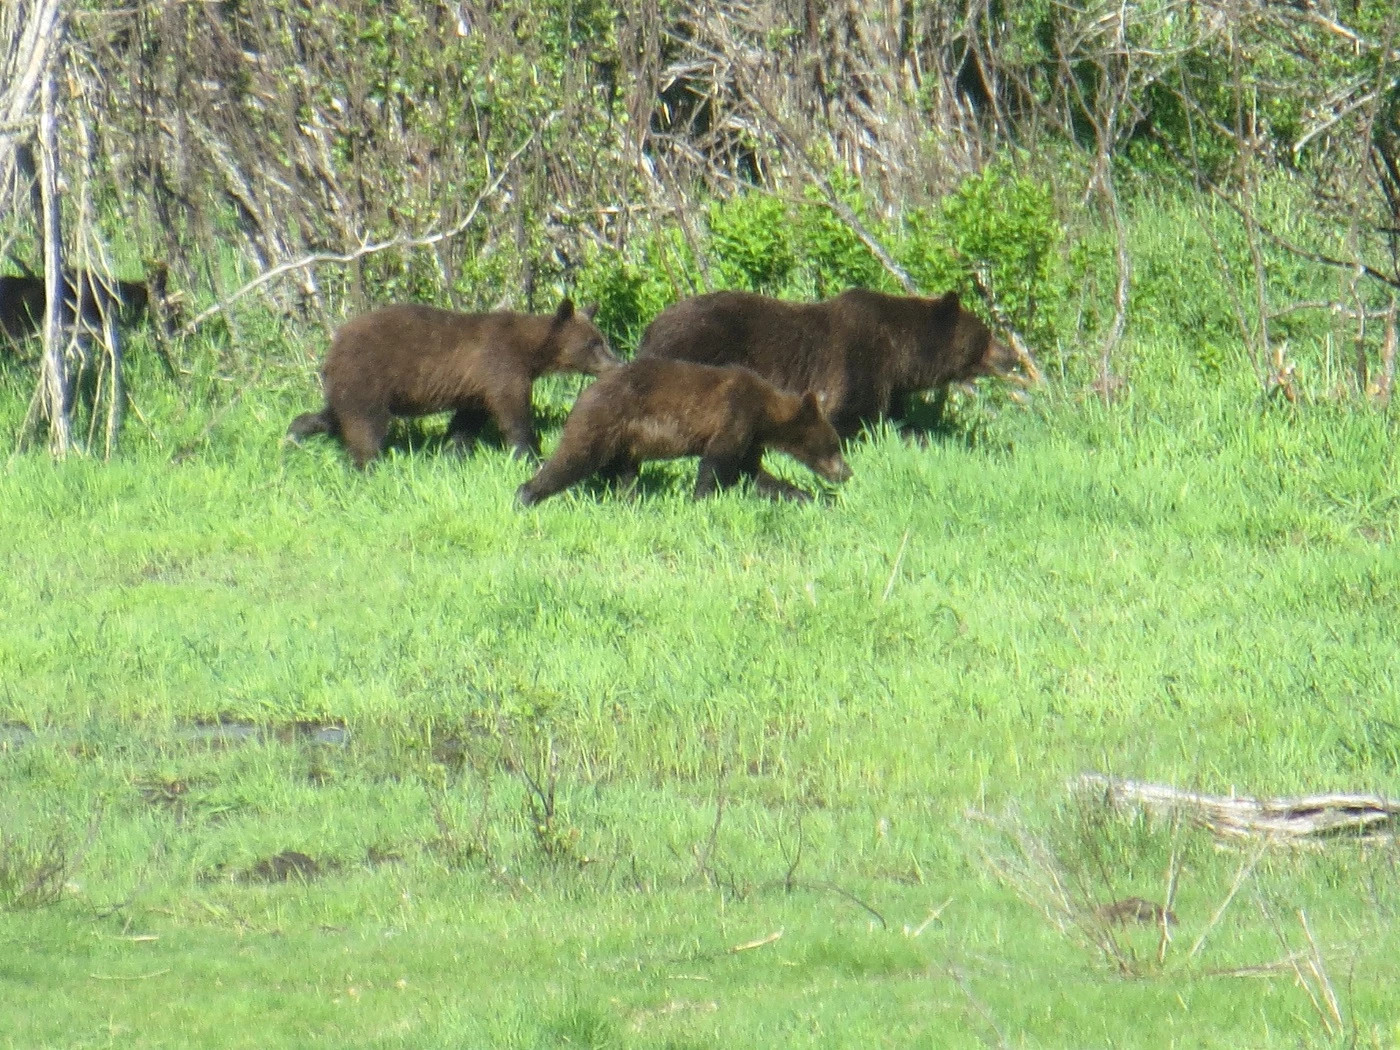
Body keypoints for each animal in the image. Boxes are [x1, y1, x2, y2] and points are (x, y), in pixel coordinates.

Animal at [288, 302, 618, 470]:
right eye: (594, 343)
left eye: (601, 339)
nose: (616, 363)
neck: (531, 350)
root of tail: (333, 348)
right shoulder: (501, 367)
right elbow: (513, 413)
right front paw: (530, 454)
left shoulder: (475, 386)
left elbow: (467, 421)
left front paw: (453, 455)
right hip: (369, 377)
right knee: (366, 425)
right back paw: (367, 465)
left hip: (348, 385)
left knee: (332, 415)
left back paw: (294, 434)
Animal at [509, 361, 845, 506]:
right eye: (834, 444)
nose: (847, 472)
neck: (765, 412)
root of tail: (585, 392)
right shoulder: (735, 415)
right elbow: (717, 462)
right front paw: (701, 499)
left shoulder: (750, 437)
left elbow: (752, 472)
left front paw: (805, 496)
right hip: (604, 420)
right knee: (574, 457)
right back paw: (526, 495)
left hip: (625, 441)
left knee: (623, 473)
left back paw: (628, 499)